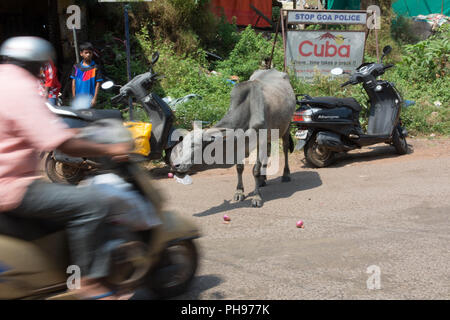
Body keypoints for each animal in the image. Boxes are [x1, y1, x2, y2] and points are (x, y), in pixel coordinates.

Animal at [169, 68, 296, 208]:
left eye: (195, 145)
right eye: (183, 145)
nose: (175, 165)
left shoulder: (260, 139)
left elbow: (255, 170)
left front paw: (256, 197)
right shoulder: (241, 144)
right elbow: (239, 168)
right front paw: (239, 192)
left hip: (286, 126)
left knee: (285, 149)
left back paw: (286, 174)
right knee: (267, 153)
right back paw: (263, 180)